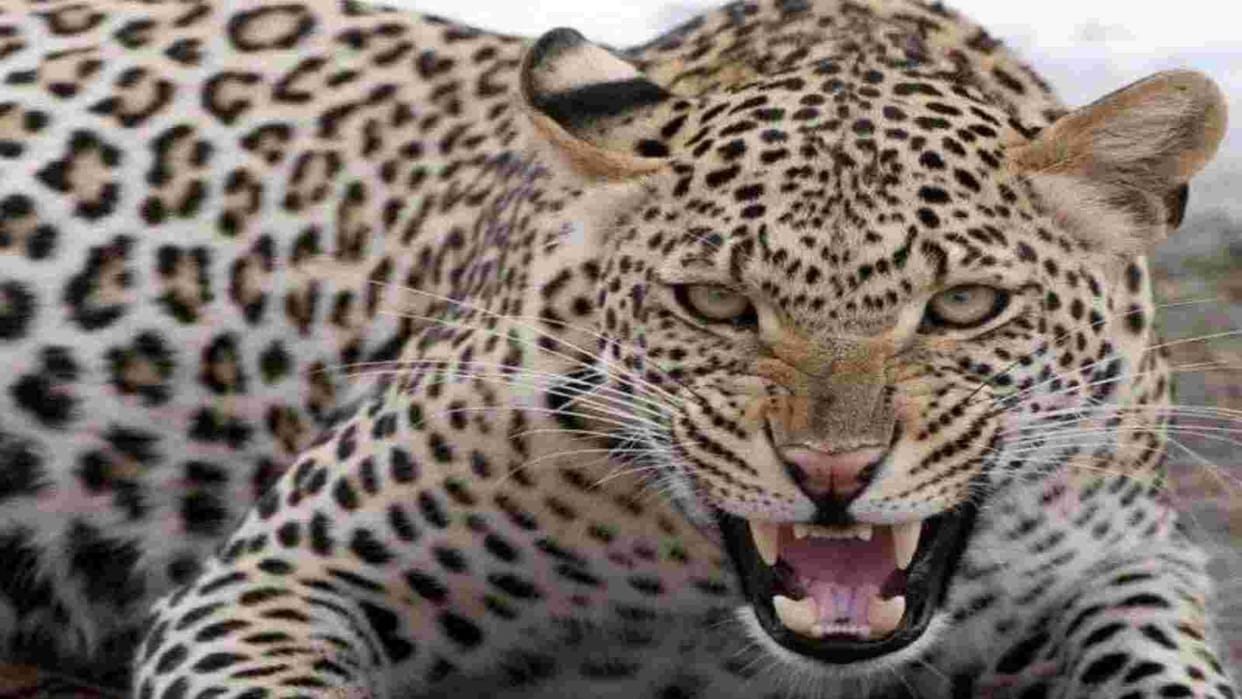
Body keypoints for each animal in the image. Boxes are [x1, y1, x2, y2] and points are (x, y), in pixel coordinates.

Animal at [0, 0, 1235, 696]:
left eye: (965, 304)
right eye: (716, 302)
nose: (831, 473)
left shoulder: (1128, 565)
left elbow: (1167, 670)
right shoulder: (275, 580)